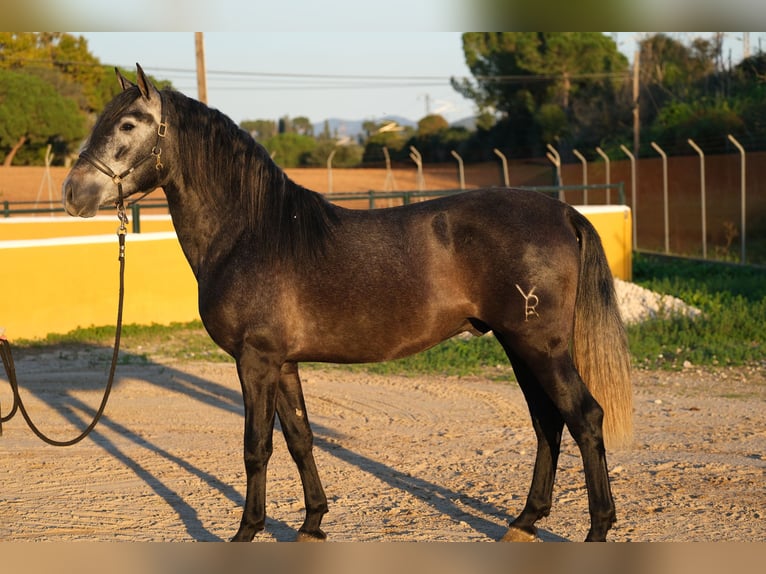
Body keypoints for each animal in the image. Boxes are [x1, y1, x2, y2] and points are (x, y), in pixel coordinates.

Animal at [63, 64, 632, 544]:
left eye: (128, 124)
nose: (72, 193)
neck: (250, 232)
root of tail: (563, 212)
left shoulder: (255, 361)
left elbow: (256, 446)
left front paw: (247, 532)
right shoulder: (282, 362)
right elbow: (299, 438)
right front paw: (312, 523)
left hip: (539, 347)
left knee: (584, 417)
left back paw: (597, 529)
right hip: (520, 347)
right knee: (548, 424)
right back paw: (524, 522)